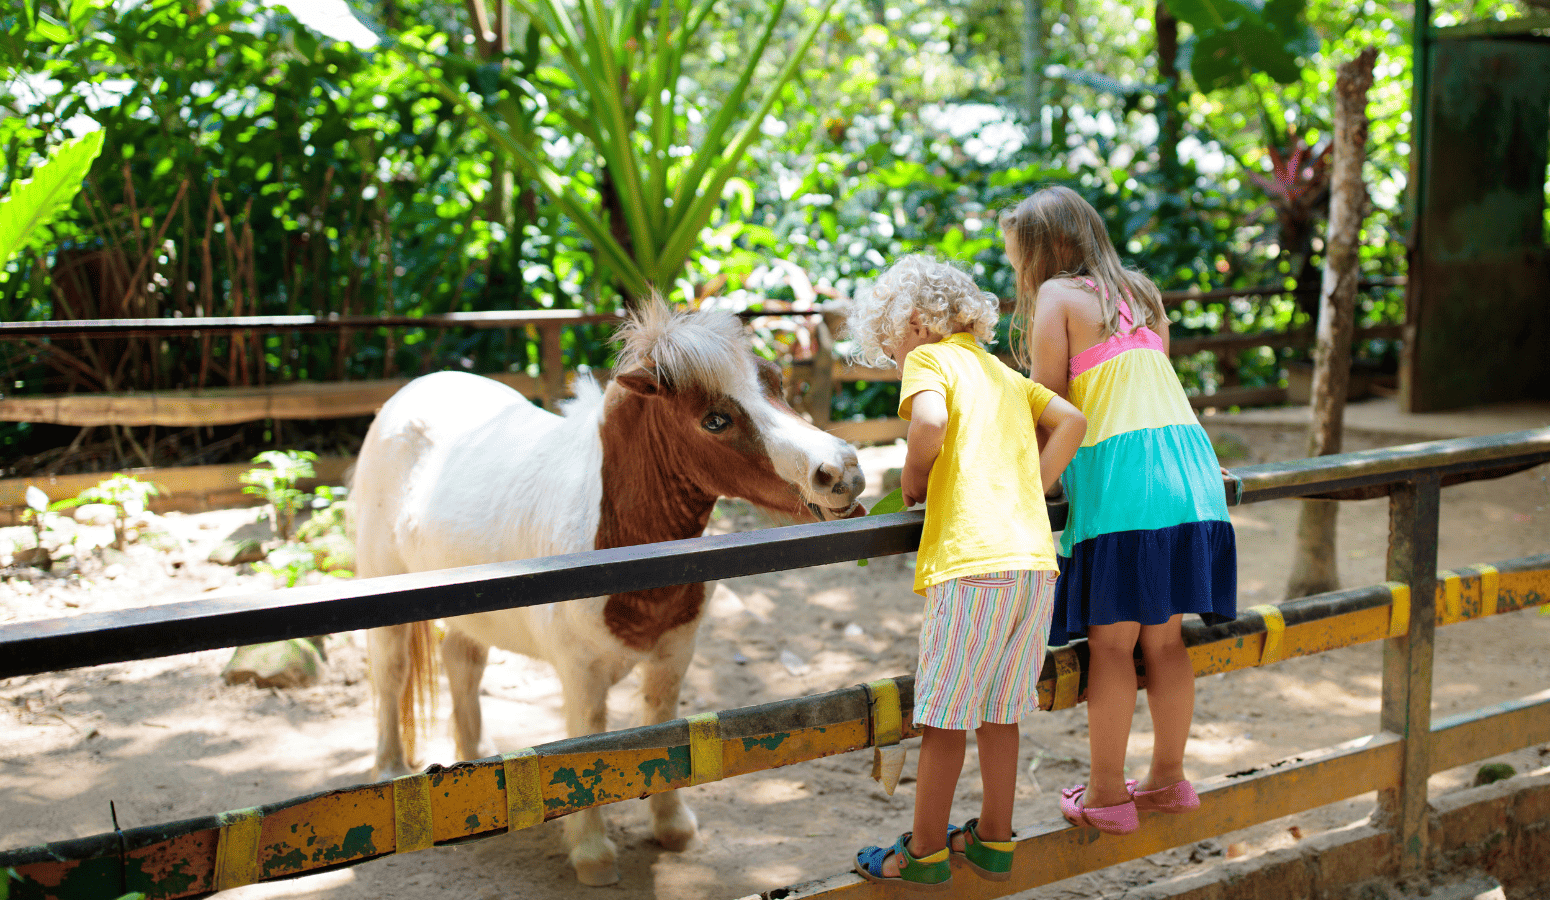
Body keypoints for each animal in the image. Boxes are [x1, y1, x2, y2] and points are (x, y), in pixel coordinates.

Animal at [351, 302, 868, 886]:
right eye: (714, 419)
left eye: (776, 382)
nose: (843, 473)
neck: (616, 545)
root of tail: (406, 397)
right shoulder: (581, 676)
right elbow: (584, 745)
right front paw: (593, 854)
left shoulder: (673, 659)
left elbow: (666, 734)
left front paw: (671, 827)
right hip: (385, 602)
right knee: (391, 675)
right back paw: (391, 773)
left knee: (462, 662)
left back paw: (476, 763)